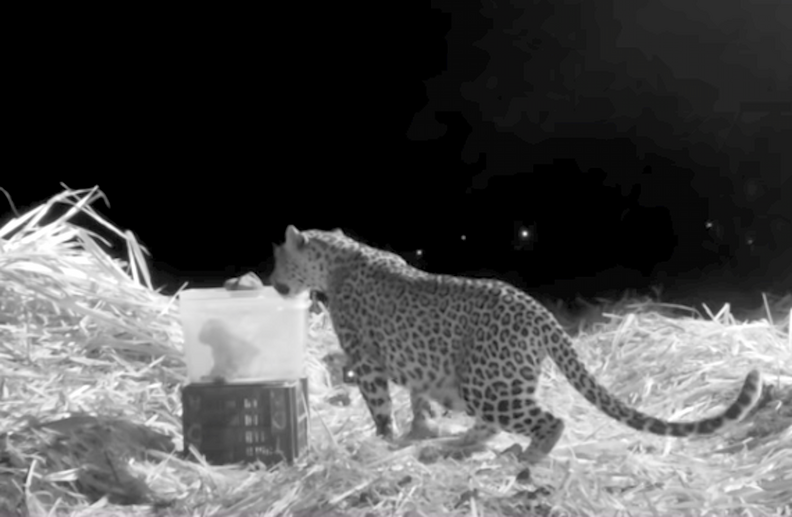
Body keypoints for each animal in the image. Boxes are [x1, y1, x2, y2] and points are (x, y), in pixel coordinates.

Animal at [267, 225, 763, 463]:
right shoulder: (416, 370)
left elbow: (380, 408)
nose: (271, 282)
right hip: (479, 385)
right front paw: (418, 432)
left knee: (547, 421)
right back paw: (445, 446)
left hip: (488, 385)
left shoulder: (367, 360)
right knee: (488, 430)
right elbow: (417, 402)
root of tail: (539, 312)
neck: (336, 261)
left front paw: (384, 441)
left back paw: (528, 458)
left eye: (276, 257)